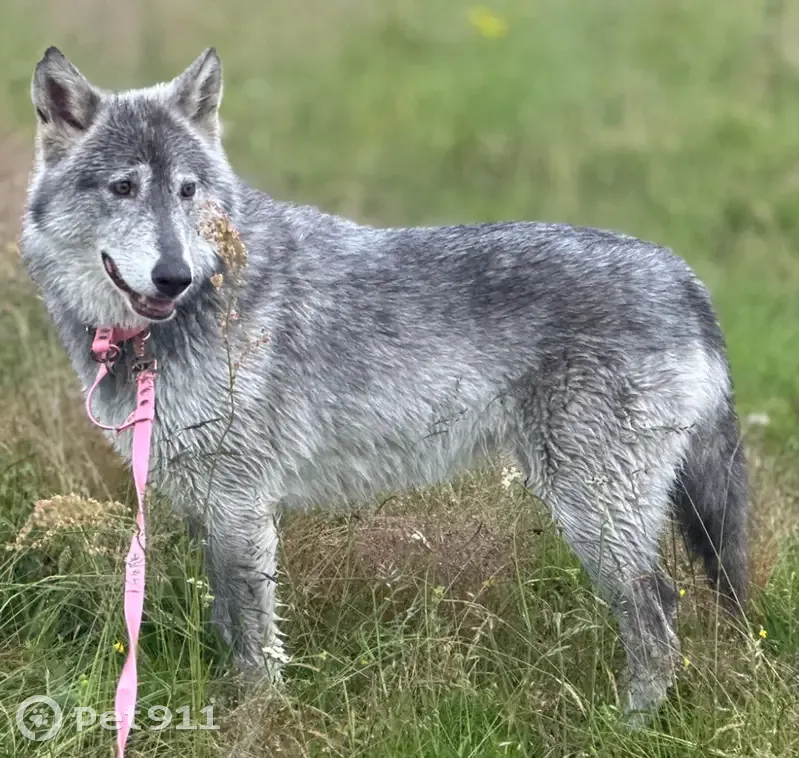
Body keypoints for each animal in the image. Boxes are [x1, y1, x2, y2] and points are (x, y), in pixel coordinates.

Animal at [19, 46, 748, 723]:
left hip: (593, 511)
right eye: (123, 188)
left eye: (187, 191)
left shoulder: (240, 505)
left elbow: (254, 644)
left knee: (658, 611)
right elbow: (229, 623)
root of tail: (684, 277)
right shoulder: (210, 506)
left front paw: (254, 720)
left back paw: (631, 726)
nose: (173, 276)